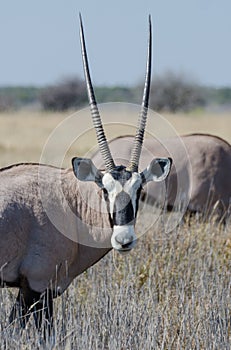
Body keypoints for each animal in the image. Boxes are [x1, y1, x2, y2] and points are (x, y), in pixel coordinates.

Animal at [0, 15, 171, 334]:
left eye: (139, 190)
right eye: (104, 190)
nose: (124, 240)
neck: (71, 201)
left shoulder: (32, 289)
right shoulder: (38, 286)